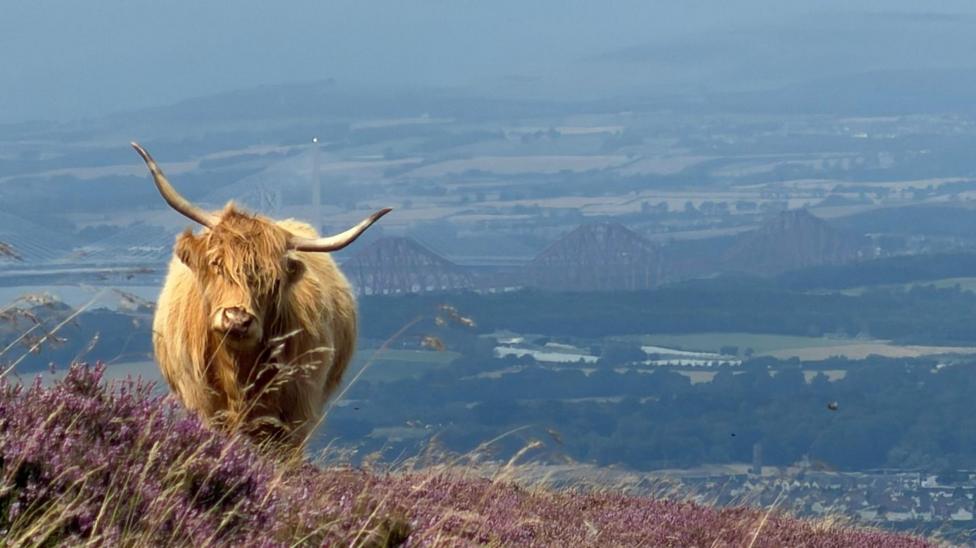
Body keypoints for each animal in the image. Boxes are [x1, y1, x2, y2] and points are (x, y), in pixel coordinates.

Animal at [131, 142, 390, 448]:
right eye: (216, 263)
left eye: (274, 280)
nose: (237, 319)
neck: (238, 367)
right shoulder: (205, 407)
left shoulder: (295, 416)